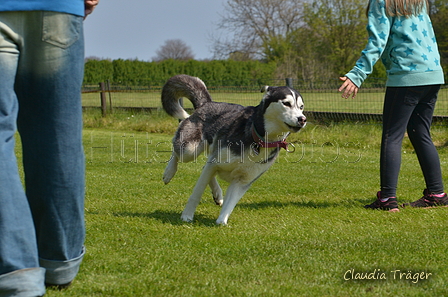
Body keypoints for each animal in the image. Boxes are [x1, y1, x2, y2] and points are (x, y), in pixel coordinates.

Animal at [161, 74, 304, 224]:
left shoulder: (243, 181)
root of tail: (207, 103)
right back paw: (169, 172)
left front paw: (221, 222)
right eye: (286, 103)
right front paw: (187, 216)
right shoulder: (215, 162)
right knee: (177, 151)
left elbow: (230, 204)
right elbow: (197, 192)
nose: (302, 119)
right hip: (189, 149)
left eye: (301, 107)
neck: (260, 140)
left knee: (204, 168)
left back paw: (217, 194)